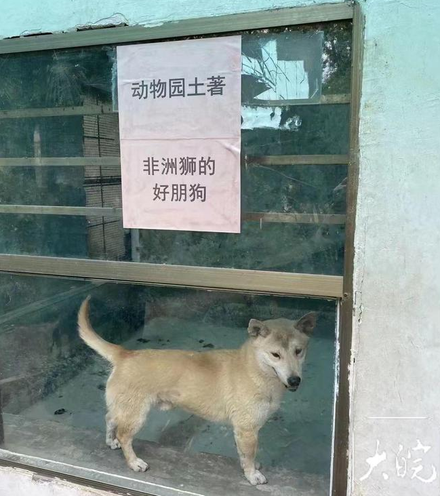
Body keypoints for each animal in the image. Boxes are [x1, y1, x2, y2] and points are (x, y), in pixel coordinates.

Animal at [77, 296, 314, 486]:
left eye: (298, 351)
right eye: (275, 355)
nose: (294, 380)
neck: (254, 369)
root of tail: (125, 354)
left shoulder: (244, 431)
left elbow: (244, 455)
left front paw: (251, 468)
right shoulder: (247, 430)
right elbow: (248, 456)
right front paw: (252, 475)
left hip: (124, 408)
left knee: (110, 419)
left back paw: (110, 442)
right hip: (136, 414)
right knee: (124, 435)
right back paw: (134, 462)